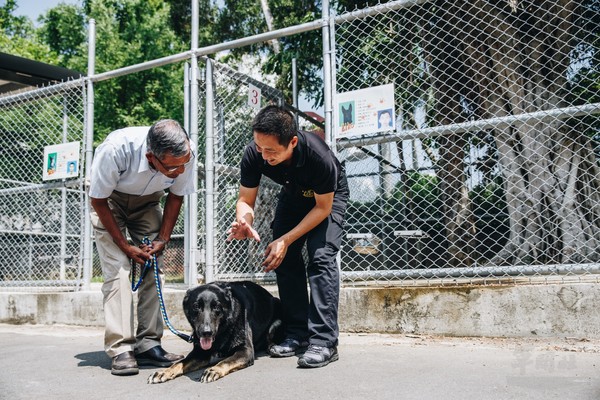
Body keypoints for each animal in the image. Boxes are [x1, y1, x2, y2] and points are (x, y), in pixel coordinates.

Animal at [148, 280, 284, 382]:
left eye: (217, 307)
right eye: (196, 306)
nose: (206, 332)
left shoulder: (246, 350)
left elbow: (227, 361)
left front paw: (214, 370)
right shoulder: (200, 353)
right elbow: (179, 363)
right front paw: (164, 372)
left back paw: (273, 347)